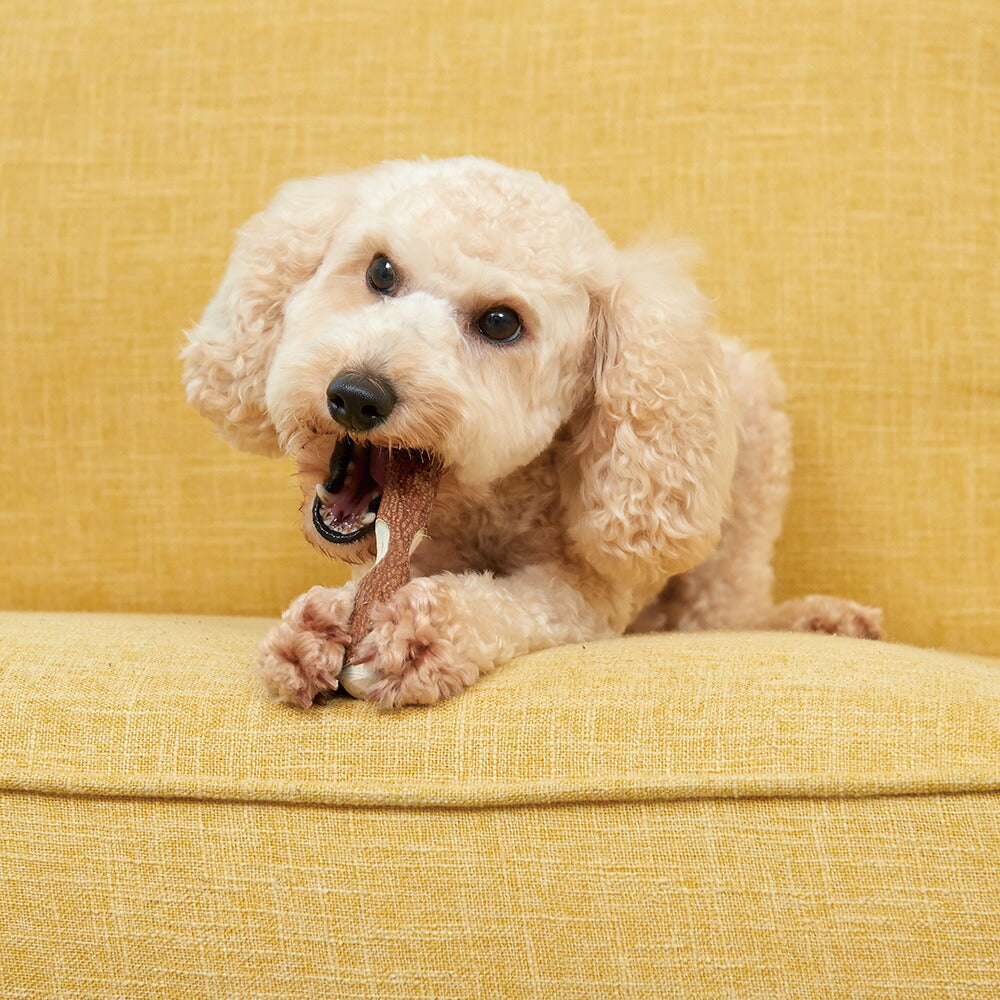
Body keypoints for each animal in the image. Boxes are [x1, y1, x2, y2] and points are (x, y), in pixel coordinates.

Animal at [182, 156, 884, 708]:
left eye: (501, 323)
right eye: (380, 272)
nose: (356, 395)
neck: (488, 506)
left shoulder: (587, 595)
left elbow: (519, 606)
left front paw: (425, 632)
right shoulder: (418, 550)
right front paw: (321, 624)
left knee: (729, 610)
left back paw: (823, 620)